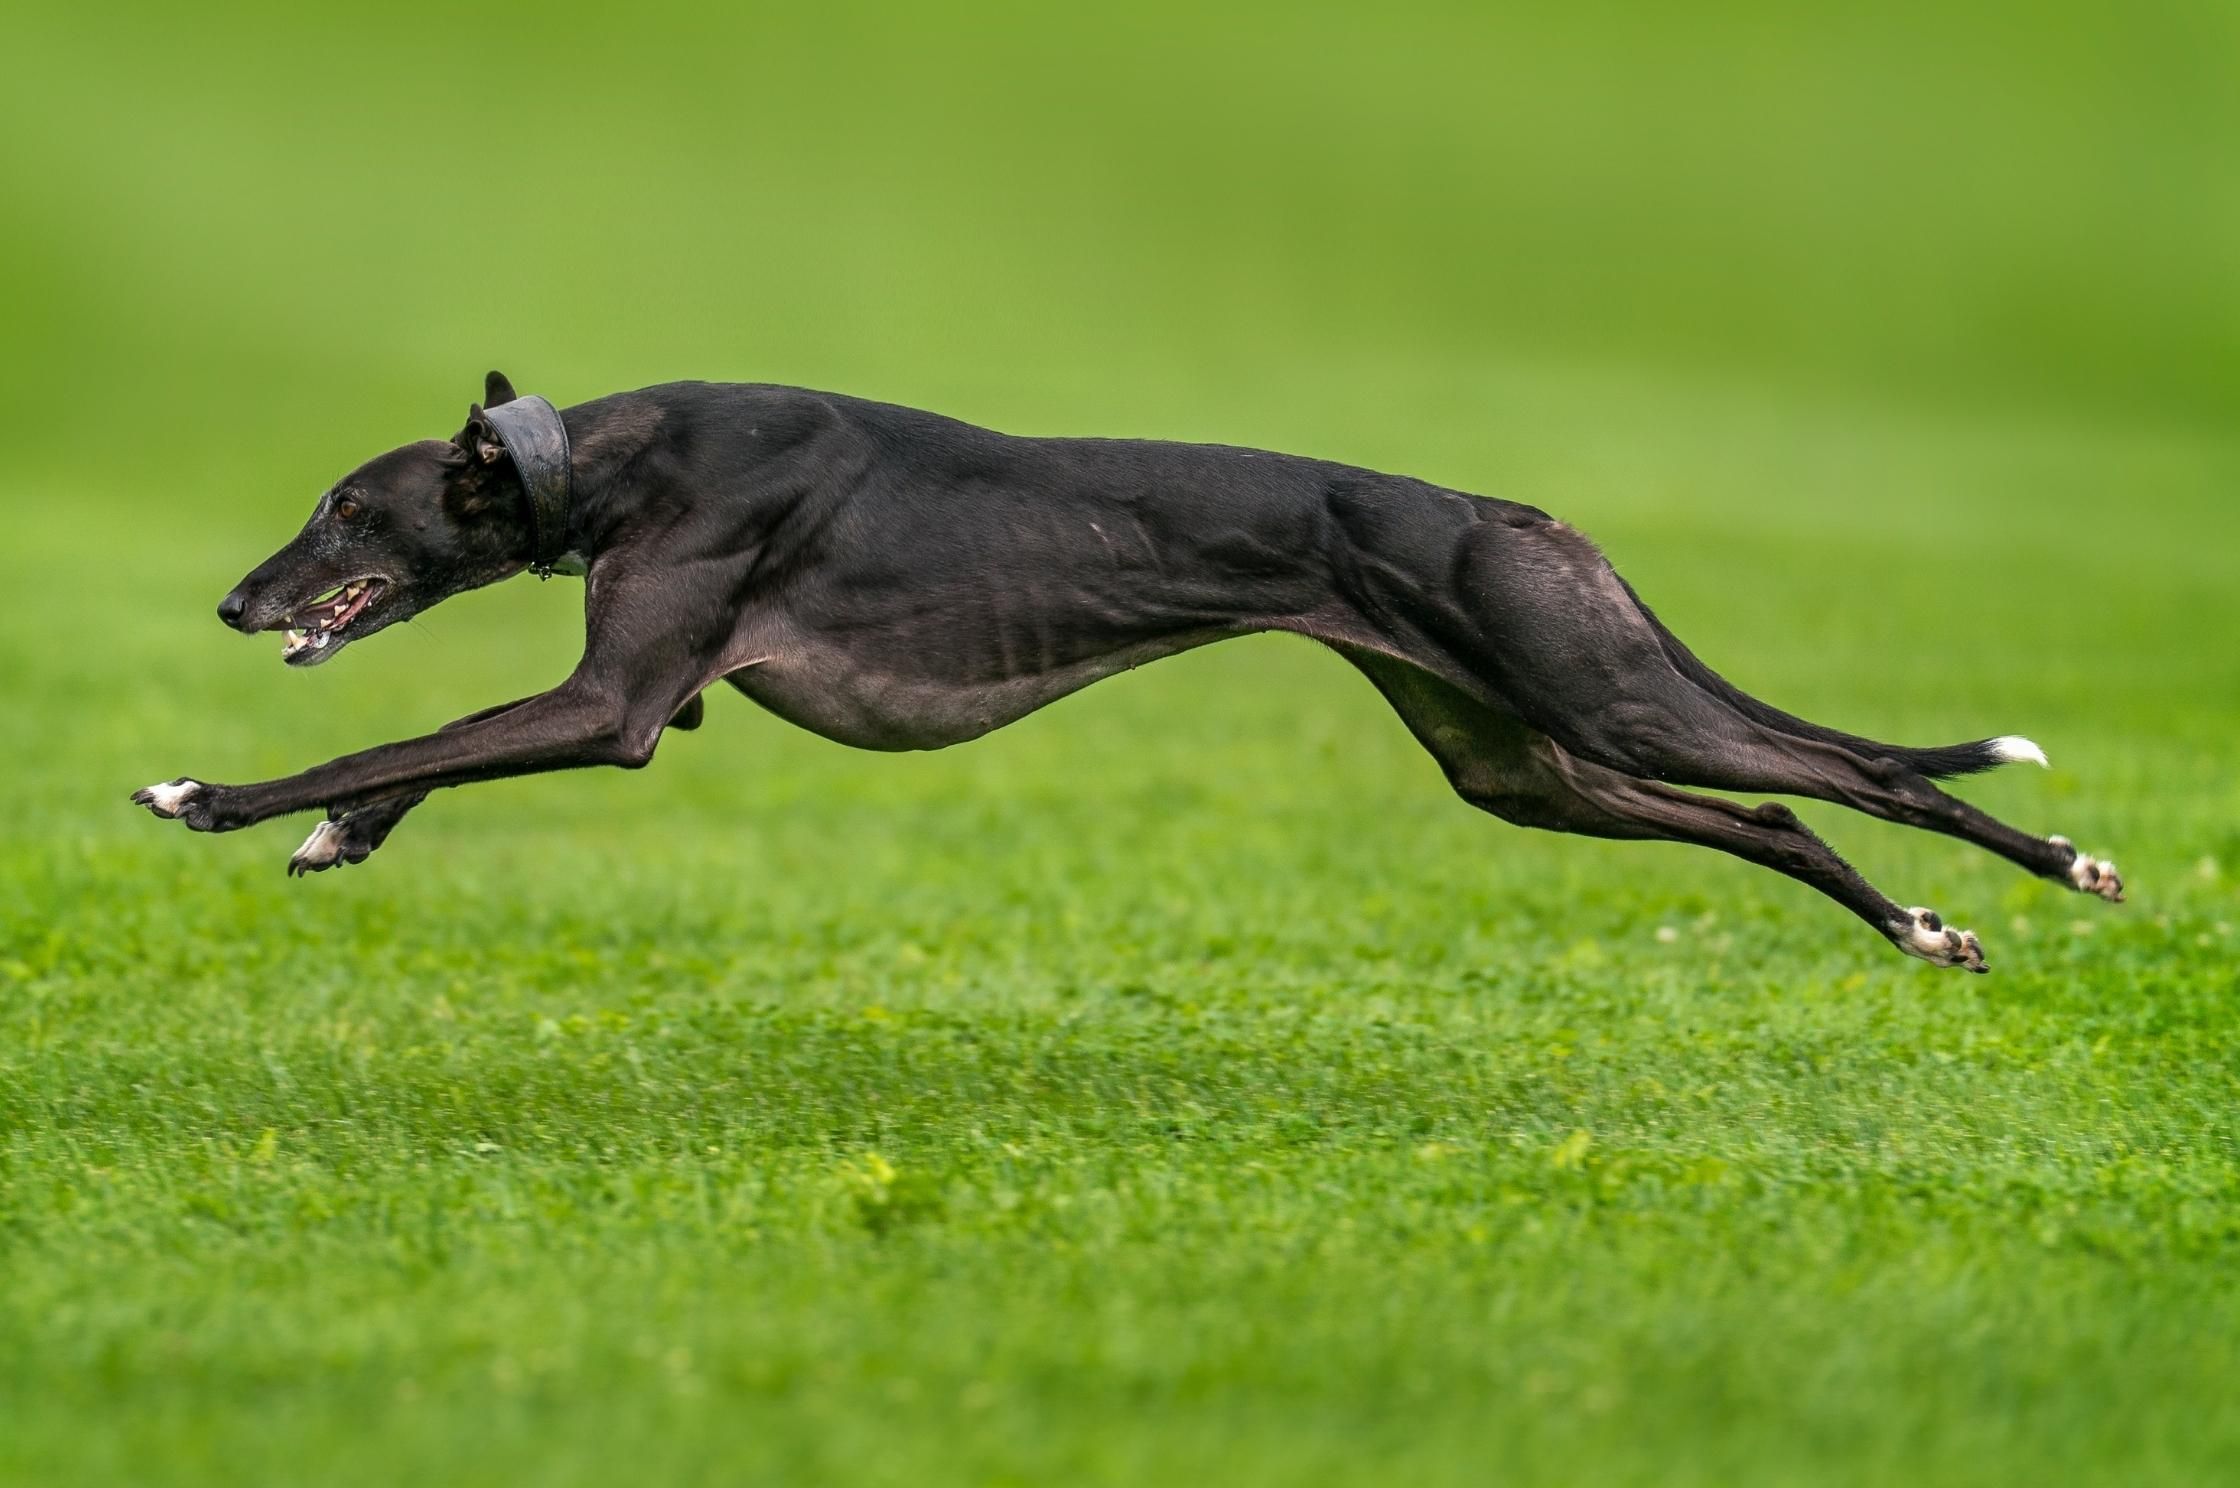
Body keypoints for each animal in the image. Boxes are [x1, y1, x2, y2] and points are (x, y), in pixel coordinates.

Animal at [131, 372, 2123, 972]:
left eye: (343, 505)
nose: (231, 602)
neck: (613, 457)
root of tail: (1519, 511)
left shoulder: (619, 709)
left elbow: (405, 732)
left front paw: (209, 792)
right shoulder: (647, 692)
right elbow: (416, 753)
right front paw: (332, 836)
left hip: (1599, 692)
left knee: (1876, 772)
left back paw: (2064, 864)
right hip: (1524, 761)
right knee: (1780, 817)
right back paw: (1926, 930)